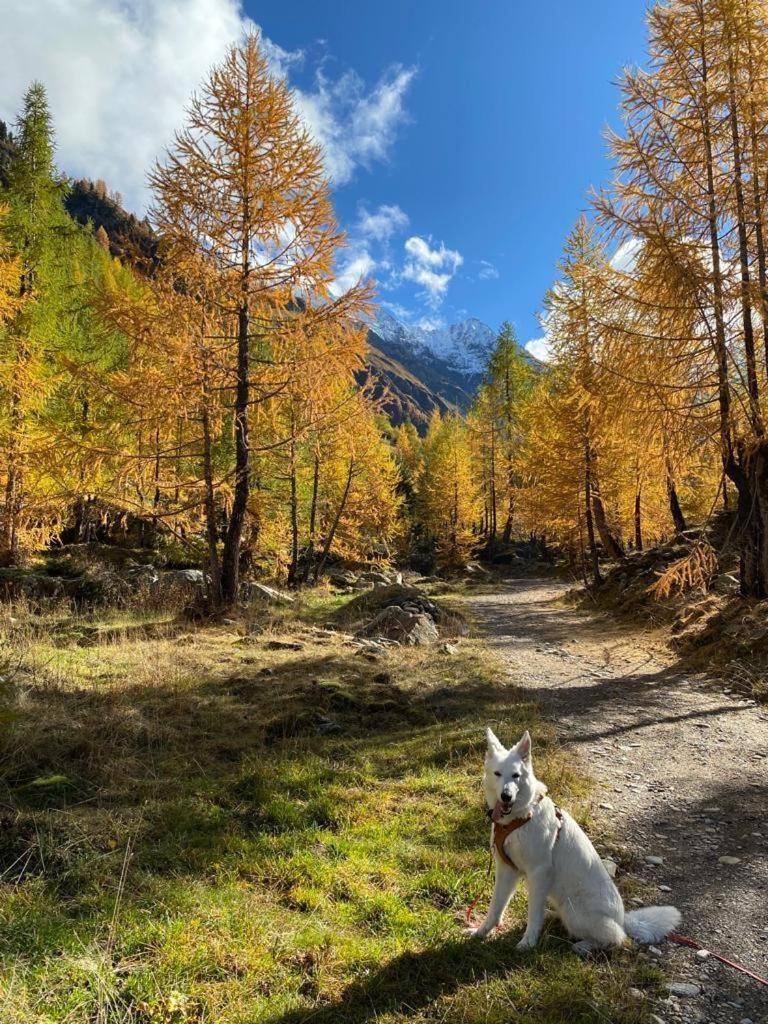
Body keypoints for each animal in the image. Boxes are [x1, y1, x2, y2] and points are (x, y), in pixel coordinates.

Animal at [473, 729, 684, 950]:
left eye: (516, 776)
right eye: (498, 774)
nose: (506, 796)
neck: (520, 817)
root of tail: (622, 919)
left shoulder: (539, 872)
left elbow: (533, 914)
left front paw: (528, 942)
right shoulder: (507, 870)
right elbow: (496, 906)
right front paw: (482, 931)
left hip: (574, 912)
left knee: (616, 938)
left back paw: (583, 946)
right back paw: (552, 916)